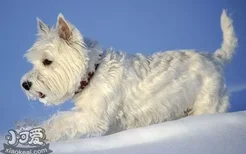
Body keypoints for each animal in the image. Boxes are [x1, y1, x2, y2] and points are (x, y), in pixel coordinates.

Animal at [21, 9, 238, 142]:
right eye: (33, 62)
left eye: (47, 61)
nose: (25, 84)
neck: (93, 73)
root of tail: (216, 58)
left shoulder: (94, 117)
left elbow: (60, 120)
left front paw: (32, 130)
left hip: (207, 103)